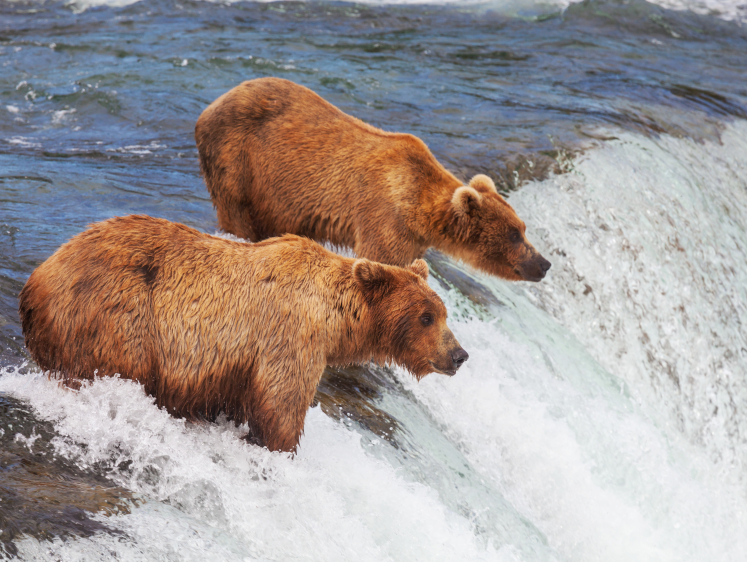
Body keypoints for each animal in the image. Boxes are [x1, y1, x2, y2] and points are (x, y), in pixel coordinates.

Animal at [17, 214, 468, 450]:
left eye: (444, 313)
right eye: (427, 316)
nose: (459, 355)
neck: (335, 320)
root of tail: (37, 280)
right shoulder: (289, 338)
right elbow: (281, 405)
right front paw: (281, 448)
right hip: (118, 315)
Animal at [196, 76, 552, 282]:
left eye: (523, 228)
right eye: (514, 234)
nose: (544, 263)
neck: (421, 209)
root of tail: (212, 103)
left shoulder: (412, 237)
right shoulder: (385, 219)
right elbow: (382, 262)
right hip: (238, 160)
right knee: (237, 213)